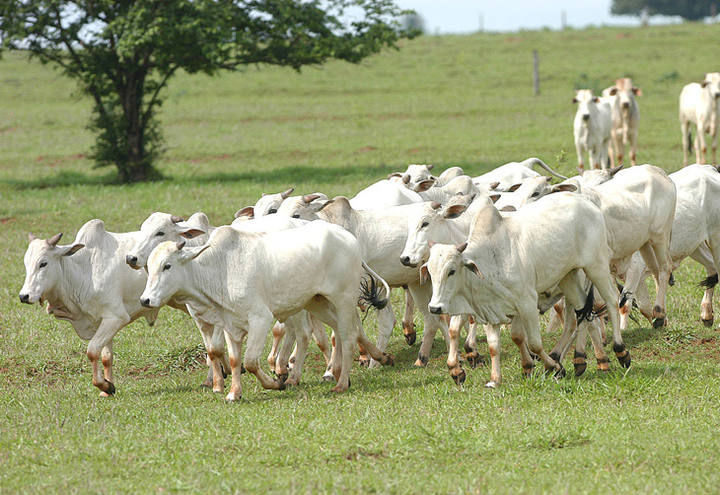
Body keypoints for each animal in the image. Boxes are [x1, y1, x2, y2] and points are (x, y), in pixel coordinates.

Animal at [19, 223, 159, 398]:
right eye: (26, 264)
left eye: (43, 263)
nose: (24, 296)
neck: (84, 273)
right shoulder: (102, 321)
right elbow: (106, 357)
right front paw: (107, 389)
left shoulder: (116, 317)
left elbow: (92, 351)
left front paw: (105, 386)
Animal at [140, 223, 394, 402]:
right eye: (149, 268)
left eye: (167, 266)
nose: (145, 299)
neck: (221, 269)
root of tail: (349, 238)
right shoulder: (229, 325)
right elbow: (234, 360)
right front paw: (234, 393)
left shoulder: (260, 319)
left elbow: (251, 361)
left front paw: (276, 383)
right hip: (317, 302)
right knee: (346, 332)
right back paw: (379, 358)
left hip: (343, 300)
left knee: (348, 336)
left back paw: (341, 383)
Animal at [424, 194, 628, 388]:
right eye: (430, 271)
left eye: (451, 270)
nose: (434, 308)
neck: (491, 258)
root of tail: (587, 203)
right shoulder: (492, 310)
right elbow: (495, 345)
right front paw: (495, 379)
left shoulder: (527, 303)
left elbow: (534, 343)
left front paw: (554, 367)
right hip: (568, 278)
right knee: (583, 314)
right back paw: (583, 361)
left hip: (596, 265)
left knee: (611, 300)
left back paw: (620, 351)